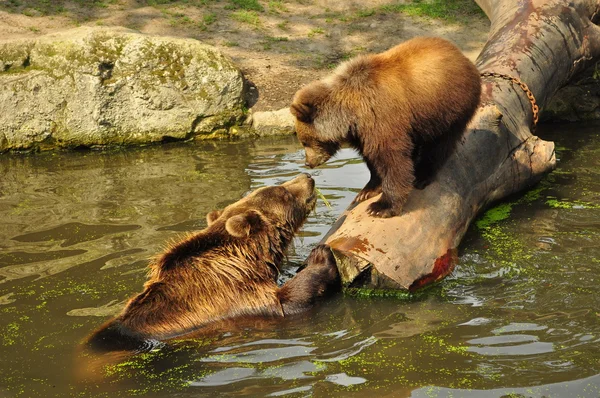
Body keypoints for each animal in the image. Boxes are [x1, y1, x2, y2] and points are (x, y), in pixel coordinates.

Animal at [86, 174, 340, 352]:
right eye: (283, 192)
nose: (307, 177)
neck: (246, 258)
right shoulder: (231, 293)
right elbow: (286, 302)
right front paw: (320, 255)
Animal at [288, 36, 480, 218]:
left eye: (305, 142)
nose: (308, 162)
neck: (350, 113)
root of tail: (460, 55)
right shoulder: (362, 132)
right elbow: (372, 159)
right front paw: (367, 191)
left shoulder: (381, 118)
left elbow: (391, 158)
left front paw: (381, 207)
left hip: (447, 107)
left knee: (440, 144)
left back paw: (422, 175)